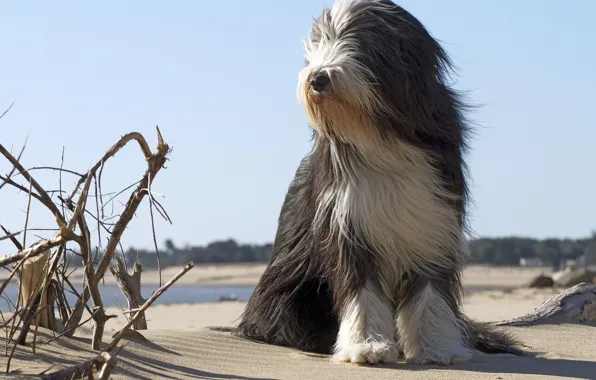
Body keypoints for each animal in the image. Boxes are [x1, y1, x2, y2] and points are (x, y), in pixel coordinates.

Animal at [235, 0, 524, 366]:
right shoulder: (350, 221)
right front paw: (366, 346)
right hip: (288, 298)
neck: (378, 133)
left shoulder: (432, 220)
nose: (317, 78)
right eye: (318, 45)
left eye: (359, 43)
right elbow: (363, 291)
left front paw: (437, 347)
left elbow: (430, 291)